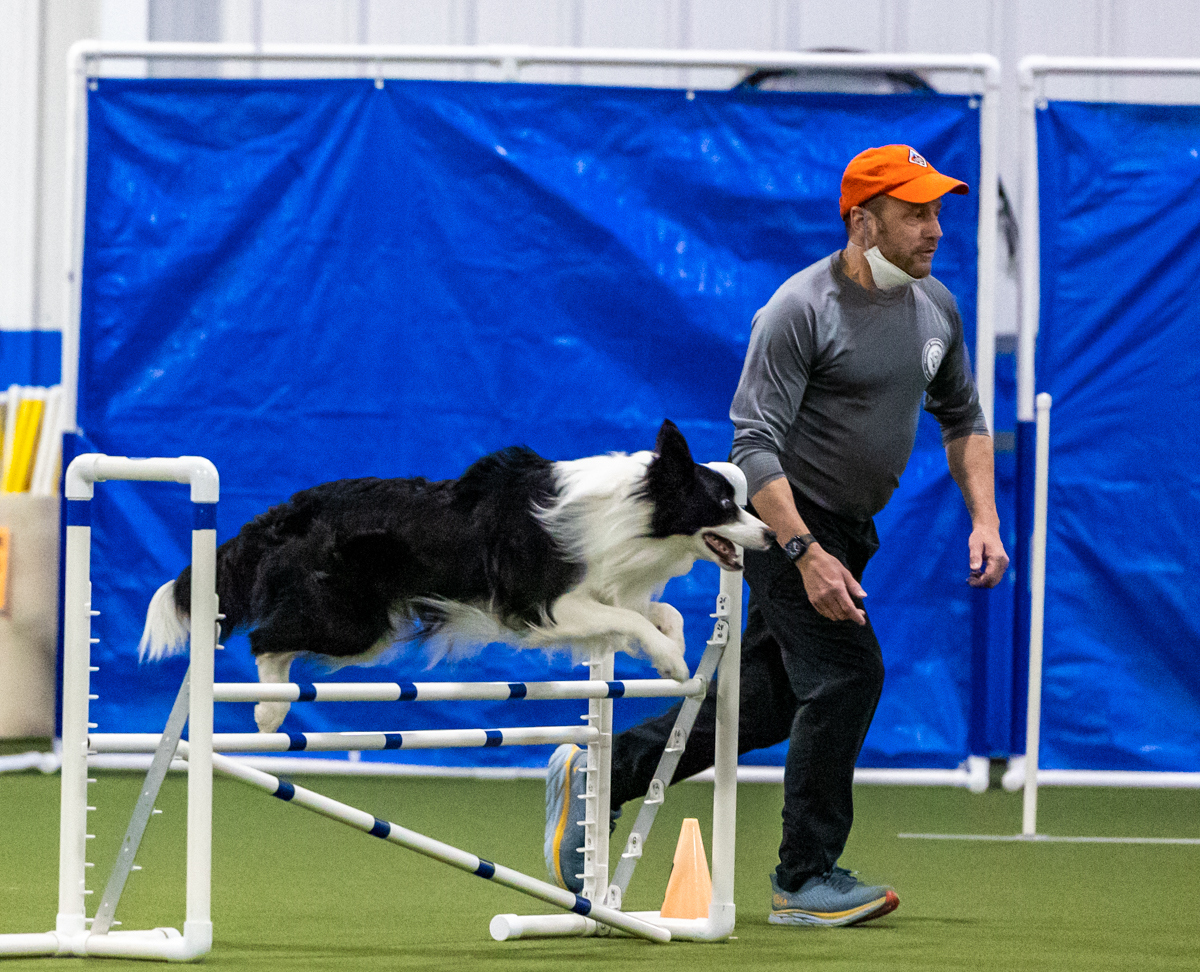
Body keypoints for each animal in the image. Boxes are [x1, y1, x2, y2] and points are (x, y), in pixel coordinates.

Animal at [139, 419, 774, 732]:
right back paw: (269, 710)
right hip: (353, 621)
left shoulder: (604, 589)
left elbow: (657, 613)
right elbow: (633, 621)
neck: (636, 511)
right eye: (725, 505)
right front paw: (671, 663)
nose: (772, 537)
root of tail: (294, 507)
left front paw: (671, 648)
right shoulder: (543, 603)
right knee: (266, 639)